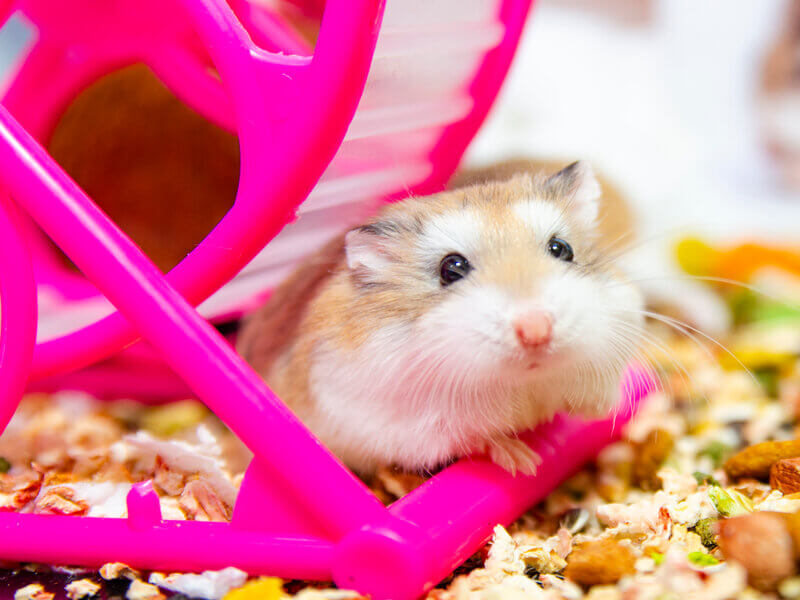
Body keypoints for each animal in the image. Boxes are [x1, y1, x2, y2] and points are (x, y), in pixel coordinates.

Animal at [237, 161, 644, 476]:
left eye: (562, 249)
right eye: (452, 268)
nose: (536, 331)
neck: (523, 380)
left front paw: (605, 410)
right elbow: (477, 437)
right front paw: (524, 462)